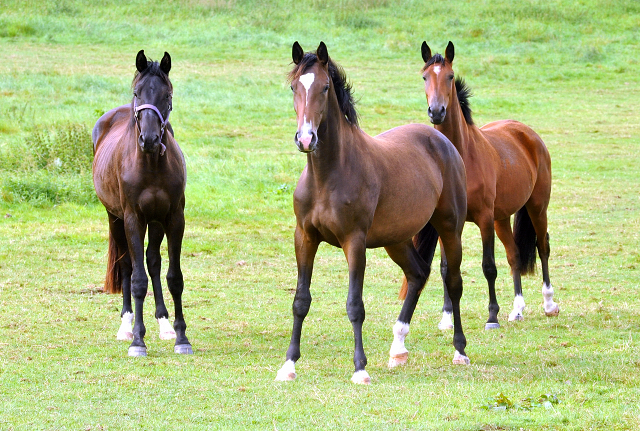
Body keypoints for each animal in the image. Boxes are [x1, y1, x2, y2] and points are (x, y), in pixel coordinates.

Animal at [92, 49, 191, 358]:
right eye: (138, 92)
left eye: (167, 94)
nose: (149, 139)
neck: (150, 165)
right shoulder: (133, 218)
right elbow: (137, 280)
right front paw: (137, 340)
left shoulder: (173, 218)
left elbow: (173, 277)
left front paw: (181, 337)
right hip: (115, 219)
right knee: (127, 265)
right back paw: (126, 326)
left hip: (155, 221)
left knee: (153, 262)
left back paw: (164, 324)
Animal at [276, 40, 470, 384]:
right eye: (294, 87)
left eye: (324, 87)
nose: (306, 138)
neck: (328, 175)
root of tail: (441, 140)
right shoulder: (305, 238)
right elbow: (301, 301)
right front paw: (288, 365)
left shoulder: (354, 242)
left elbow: (355, 305)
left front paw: (360, 369)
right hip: (397, 240)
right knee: (418, 274)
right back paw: (398, 349)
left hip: (450, 228)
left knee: (453, 281)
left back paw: (459, 350)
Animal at [418, 41, 556, 330]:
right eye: (424, 77)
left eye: (449, 76)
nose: (436, 112)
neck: (463, 156)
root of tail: (528, 134)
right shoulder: (450, 222)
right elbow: (446, 268)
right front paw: (446, 318)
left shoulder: (483, 218)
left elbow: (489, 266)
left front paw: (492, 317)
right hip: (501, 218)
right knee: (515, 254)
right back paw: (517, 309)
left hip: (537, 207)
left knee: (543, 246)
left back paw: (550, 304)